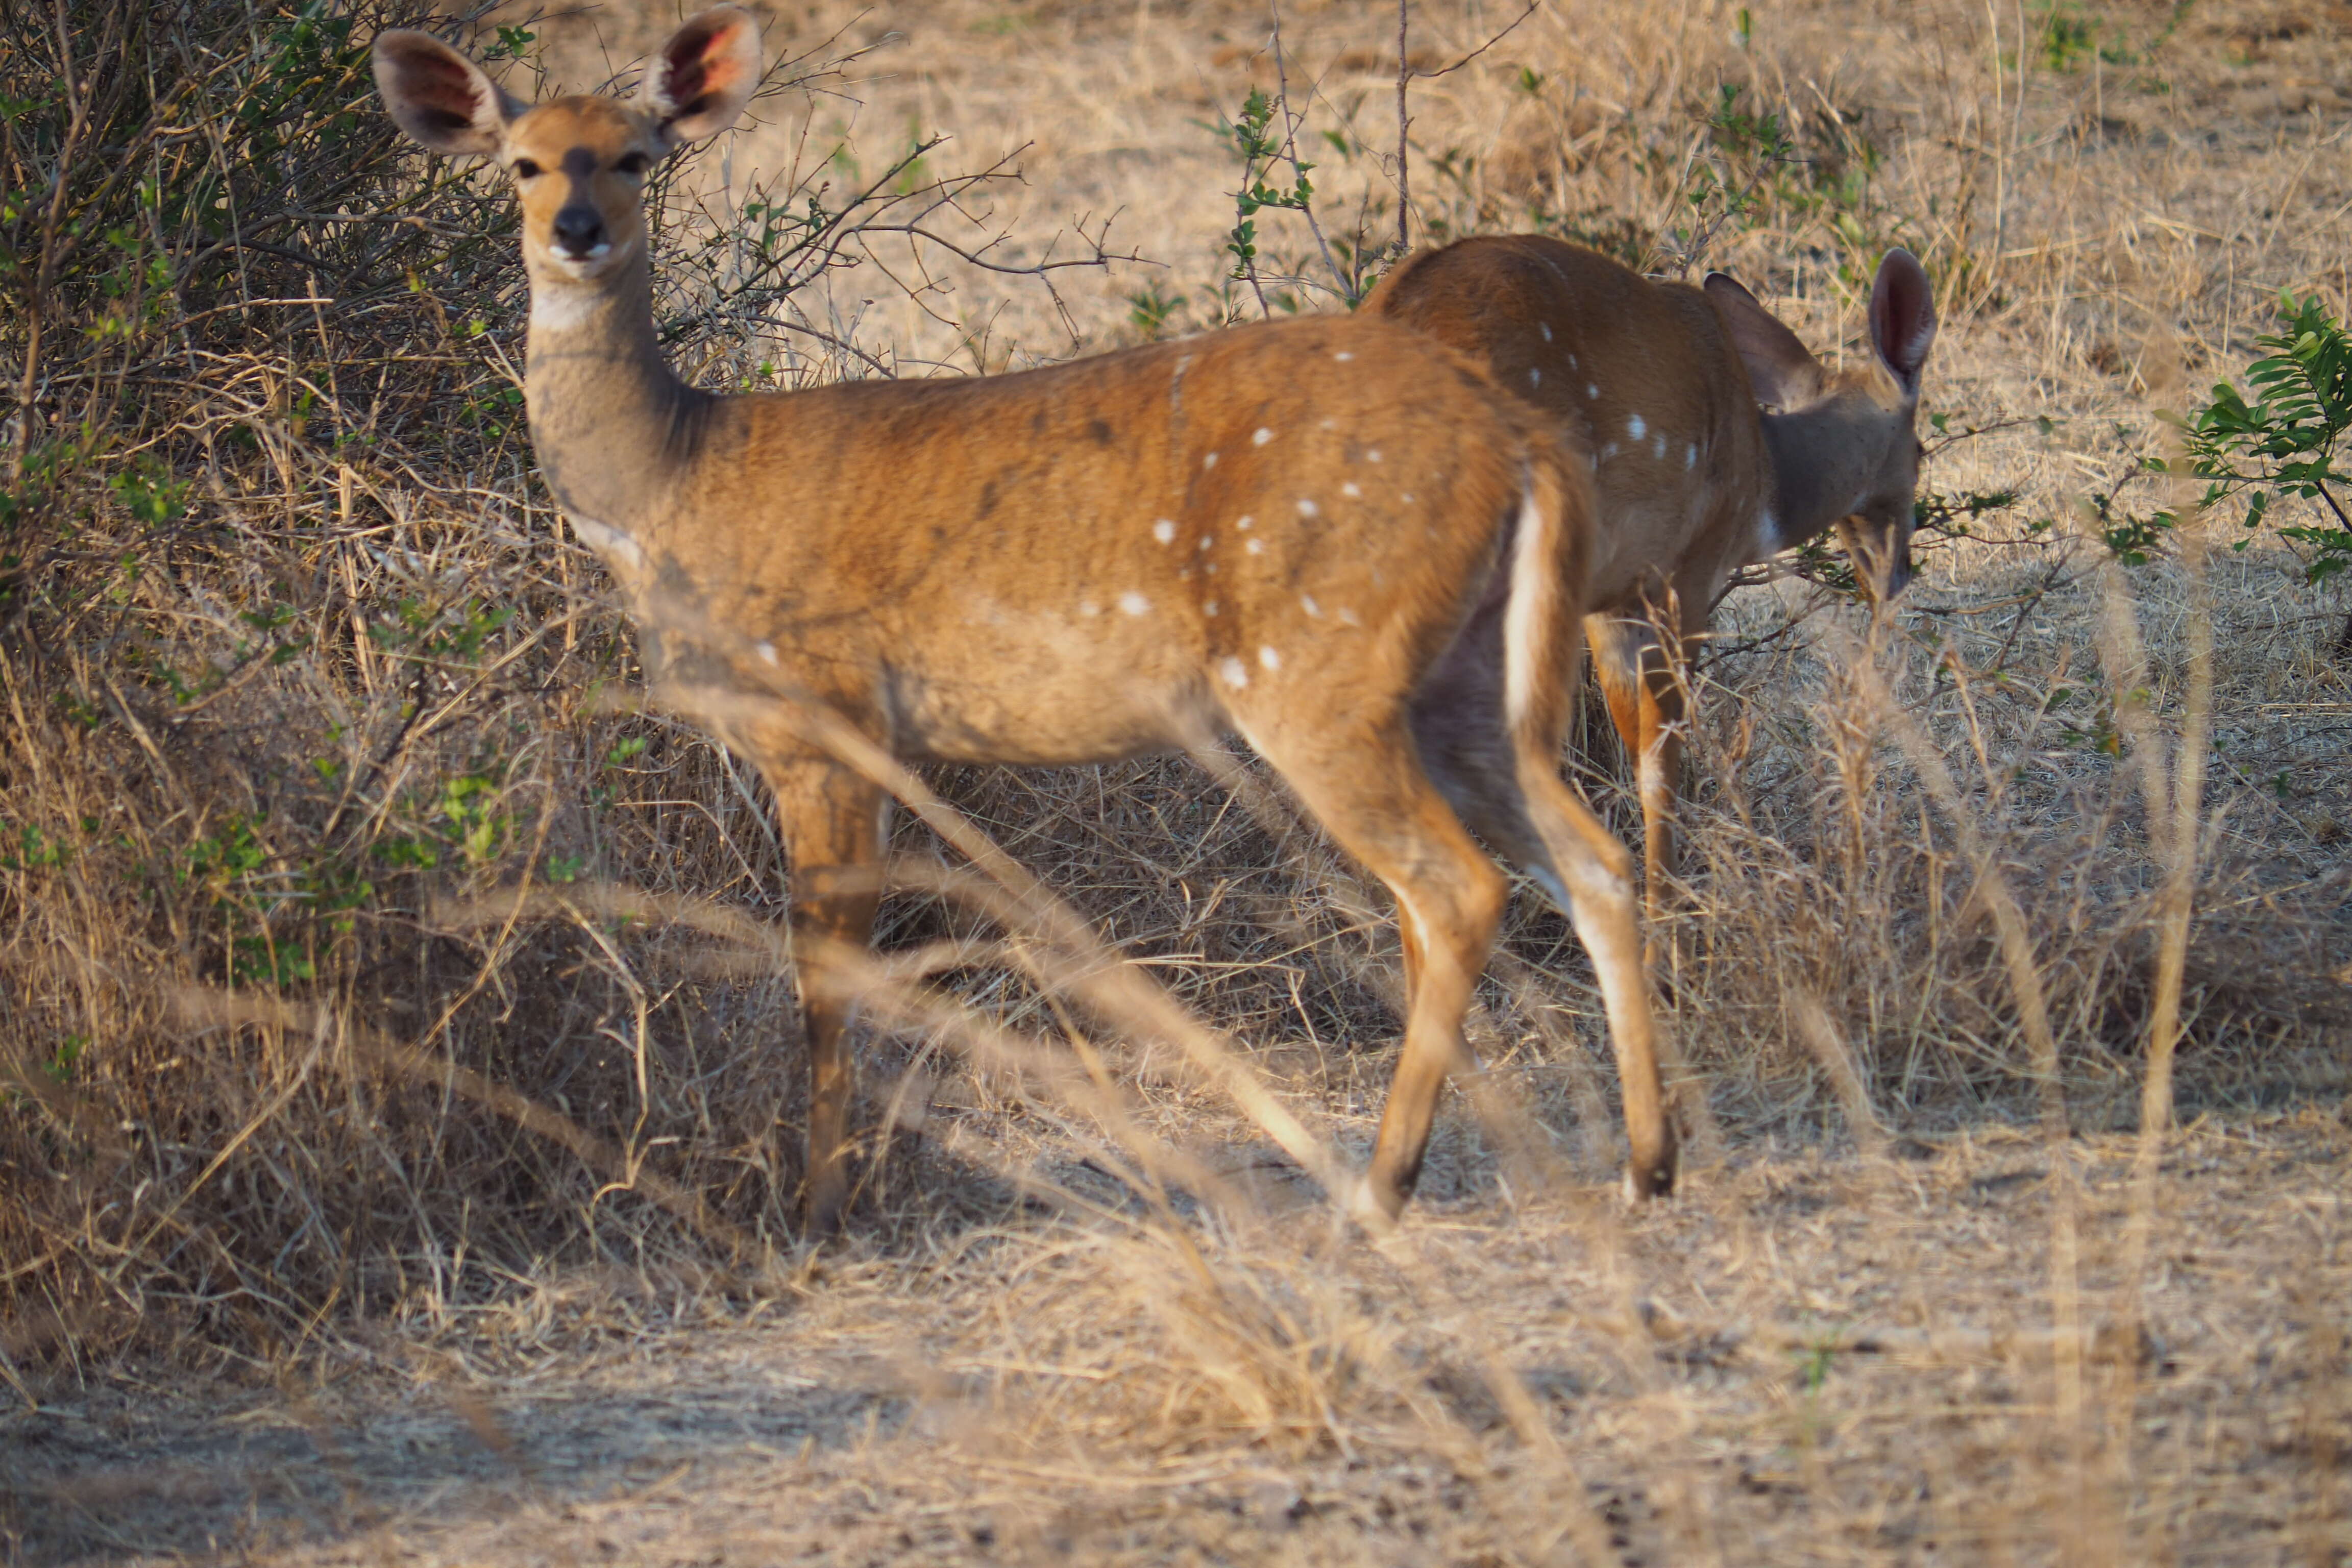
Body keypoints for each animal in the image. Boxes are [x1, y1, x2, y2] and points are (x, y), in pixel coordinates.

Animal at [372, 12, 1674, 1241]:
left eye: (636, 154)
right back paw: (1645, 1167)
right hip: (1472, 680)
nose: (576, 229)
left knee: (1459, 889)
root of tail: (1518, 441)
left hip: (1319, 666)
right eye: (524, 162)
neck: (673, 487)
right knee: (1592, 860)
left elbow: (826, 967)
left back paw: (1381, 1189)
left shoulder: (819, 713)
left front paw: (825, 1207)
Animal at [1374, 236, 1938, 930]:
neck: (1763, 482)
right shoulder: (1683, 578)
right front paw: (1668, 927)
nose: (1895, 574)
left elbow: (1631, 732)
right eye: (1922, 452)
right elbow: (1659, 759)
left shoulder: (1611, 602)